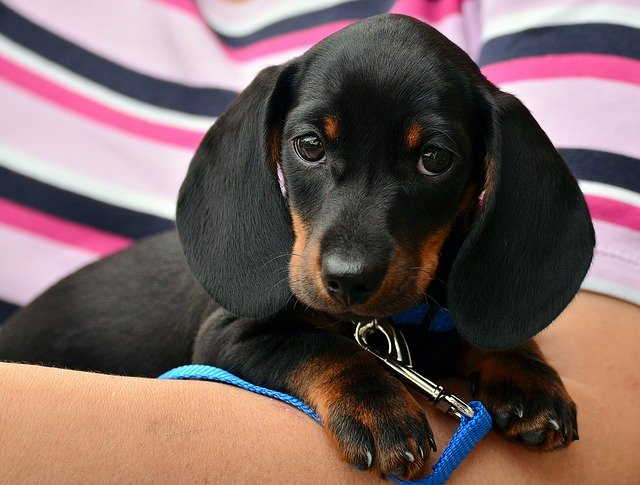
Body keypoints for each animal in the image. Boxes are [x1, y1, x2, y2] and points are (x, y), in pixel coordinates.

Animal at [0, 15, 592, 480]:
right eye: (309, 145)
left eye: (435, 158)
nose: (348, 279)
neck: (391, 326)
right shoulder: (228, 337)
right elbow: (321, 347)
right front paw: (379, 406)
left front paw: (527, 373)